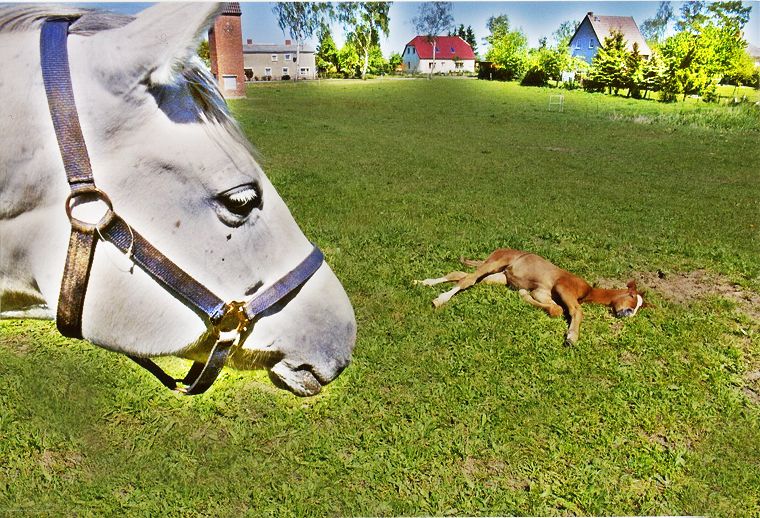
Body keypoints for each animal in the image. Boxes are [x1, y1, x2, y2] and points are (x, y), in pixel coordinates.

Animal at [416, 248, 644, 345]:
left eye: (639, 307)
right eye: (632, 298)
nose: (628, 314)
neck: (587, 291)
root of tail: (498, 249)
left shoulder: (542, 293)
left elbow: (554, 308)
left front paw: (523, 293)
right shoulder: (563, 287)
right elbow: (572, 310)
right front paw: (571, 338)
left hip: (496, 276)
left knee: (461, 275)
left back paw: (422, 282)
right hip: (495, 263)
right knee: (467, 280)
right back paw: (438, 300)